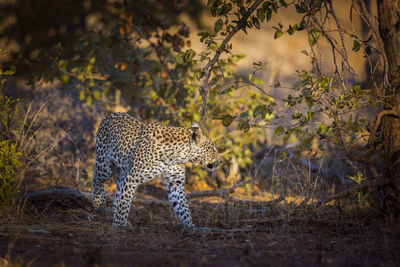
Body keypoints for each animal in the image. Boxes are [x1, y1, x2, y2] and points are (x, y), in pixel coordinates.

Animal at [92, 112, 223, 232]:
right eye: (212, 149)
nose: (221, 161)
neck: (176, 156)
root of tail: (110, 114)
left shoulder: (175, 183)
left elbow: (183, 207)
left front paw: (191, 228)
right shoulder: (132, 178)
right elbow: (124, 203)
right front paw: (119, 226)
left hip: (123, 171)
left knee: (117, 196)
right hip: (105, 166)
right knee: (96, 177)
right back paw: (99, 203)